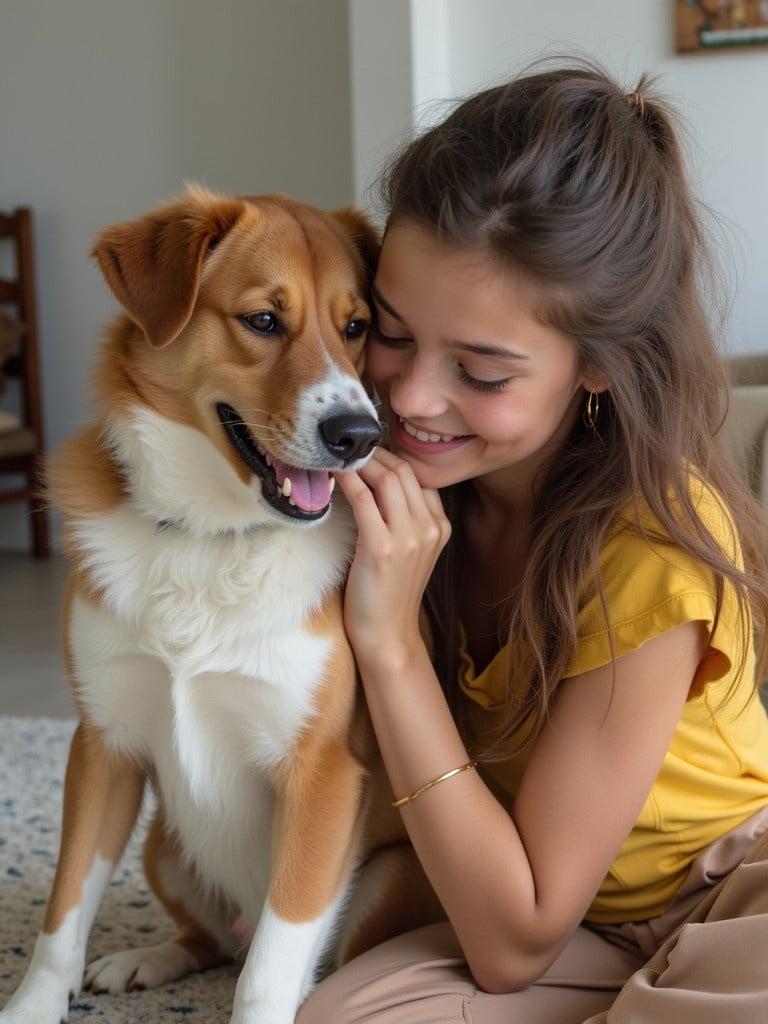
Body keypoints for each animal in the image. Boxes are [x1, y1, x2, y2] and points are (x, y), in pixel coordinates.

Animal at [0, 186, 442, 1024]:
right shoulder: (102, 747)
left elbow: (270, 965)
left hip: (384, 879)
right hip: (162, 846)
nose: (359, 435)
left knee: (282, 955)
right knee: (211, 942)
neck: (212, 538)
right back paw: (145, 959)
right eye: (263, 320)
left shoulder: (322, 772)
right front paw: (32, 1005)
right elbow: (63, 911)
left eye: (356, 327)